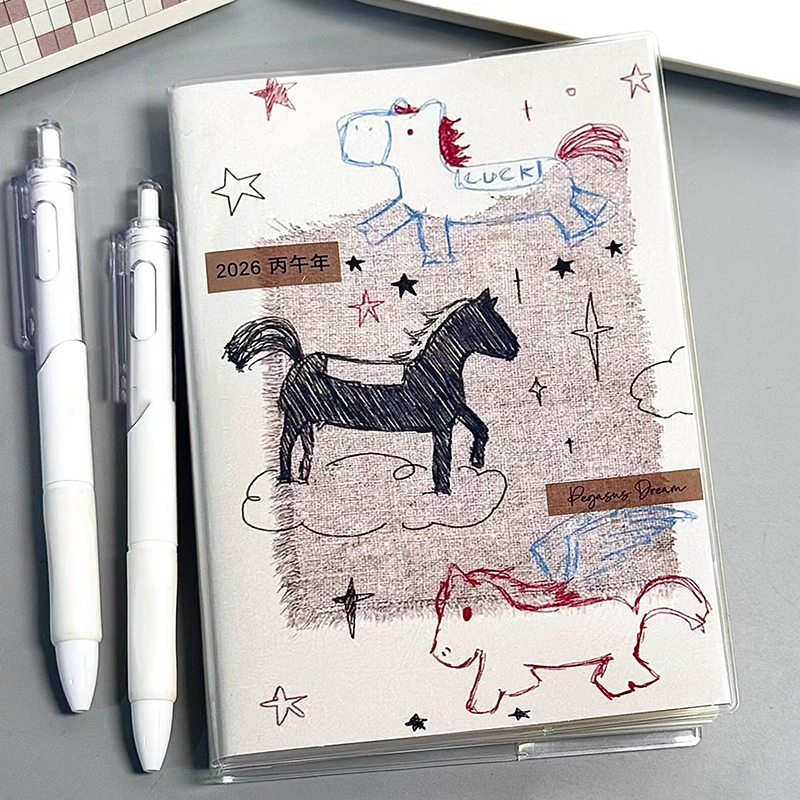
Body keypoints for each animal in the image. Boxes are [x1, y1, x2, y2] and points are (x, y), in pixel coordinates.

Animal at [223, 289, 519, 494]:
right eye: (492, 322)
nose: (515, 348)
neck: (434, 370)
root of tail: (299, 360)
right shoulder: (442, 424)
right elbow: (442, 459)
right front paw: (443, 492)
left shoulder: (455, 410)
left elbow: (480, 427)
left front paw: (477, 461)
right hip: (295, 417)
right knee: (285, 445)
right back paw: (286, 481)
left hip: (306, 419)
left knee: (306, 447)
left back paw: (303, 480)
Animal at [337, 99, 627, 265]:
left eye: (409, 130)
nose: (355, 125)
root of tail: (560, 159)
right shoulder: (412, 208)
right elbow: (391, 214)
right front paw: (367, 231)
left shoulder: (432, 218)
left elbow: (432, 238)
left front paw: (436, 261)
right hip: (565, 197)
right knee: (584, 200)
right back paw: (603, 213)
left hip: (556, 205)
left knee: (573, 217)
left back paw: (581, 235)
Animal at [431, 565, 711, 714]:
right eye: (440, 608)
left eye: (467, 613)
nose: (440, 652)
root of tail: (634, 610)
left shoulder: (500, 664)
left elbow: (488, 684)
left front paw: (479, 707)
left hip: (620, 654)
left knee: (634, 669)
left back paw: (625, 687)